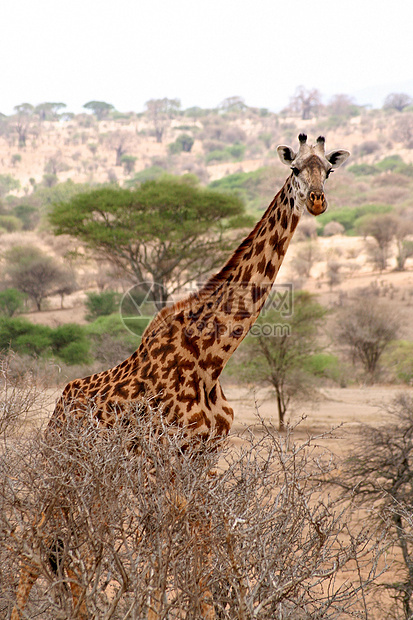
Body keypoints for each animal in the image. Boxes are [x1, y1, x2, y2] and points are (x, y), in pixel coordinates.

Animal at [11, 133, 348, 616]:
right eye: (296, 169)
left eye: (330, 170)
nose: (317, 201)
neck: (211, 356)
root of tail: (57, 411)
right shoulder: (171, 457)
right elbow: (174, 543)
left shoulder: (203, 458)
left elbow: (205, 538)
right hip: (67, 468)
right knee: (38, 539)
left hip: (99, 480)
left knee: (69, 547)